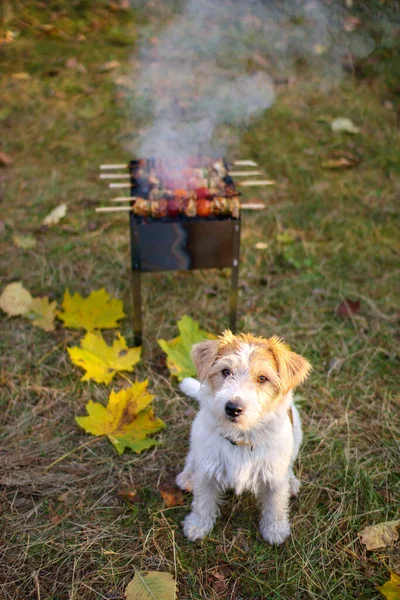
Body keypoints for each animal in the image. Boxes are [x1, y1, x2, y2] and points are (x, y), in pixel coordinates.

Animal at [177, 330, 310, 548]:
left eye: (262, 378)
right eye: (225, 371)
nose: (233, 408)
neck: (241, 438)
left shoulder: (274, 476)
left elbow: (275, 504)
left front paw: (275, 530)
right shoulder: (207, 471)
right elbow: (203, 501)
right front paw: (197, 525)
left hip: (297, 431)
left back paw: (291, 482)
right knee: (192, 458)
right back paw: (187, 477)